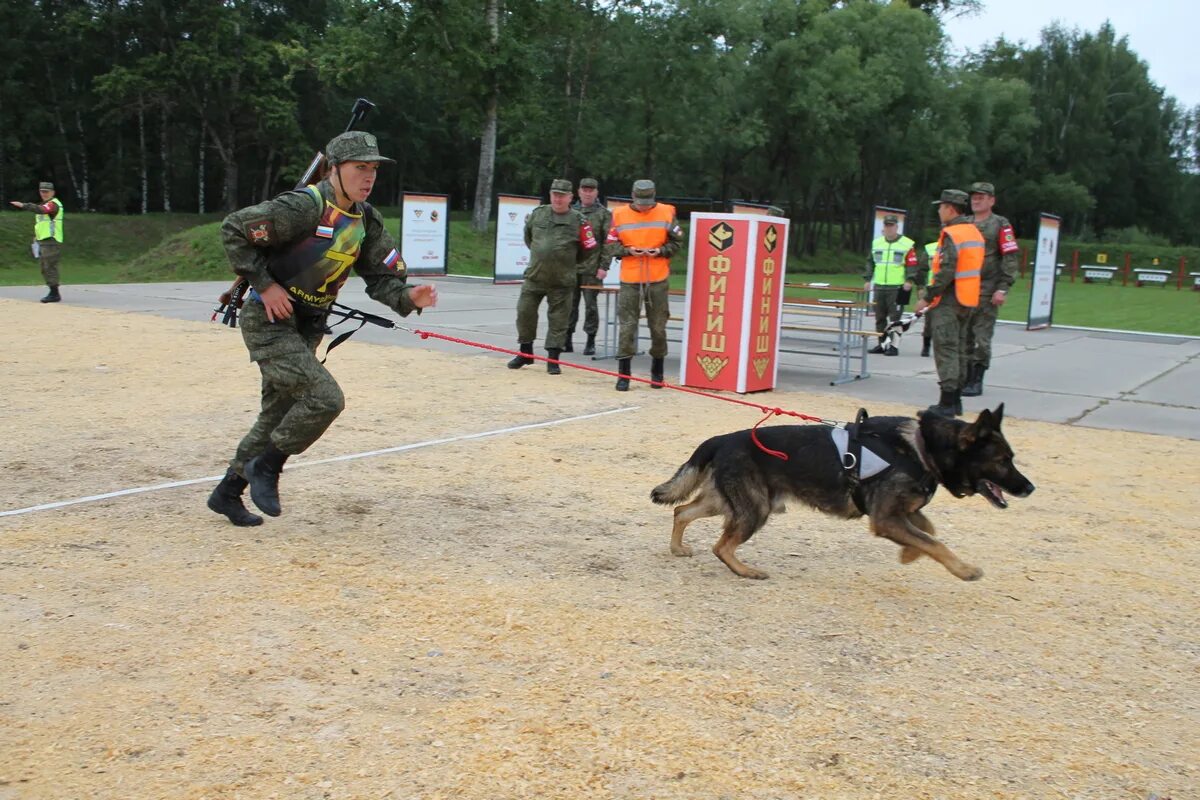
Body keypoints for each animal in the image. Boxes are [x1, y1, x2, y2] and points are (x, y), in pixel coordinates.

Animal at [652, 407, 1036, 582]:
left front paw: (909, 553)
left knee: (682, 512)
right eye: (1003, 460)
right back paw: (746, 571)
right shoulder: (886, 519)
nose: (1029, 488)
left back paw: (677, 548)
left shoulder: (898, 513)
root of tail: (721, 439)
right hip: (754, 509)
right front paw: (963, 569)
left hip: (725, 502)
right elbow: (935, 541)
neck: (922, 447)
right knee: (722, 545)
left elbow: (929, 531)